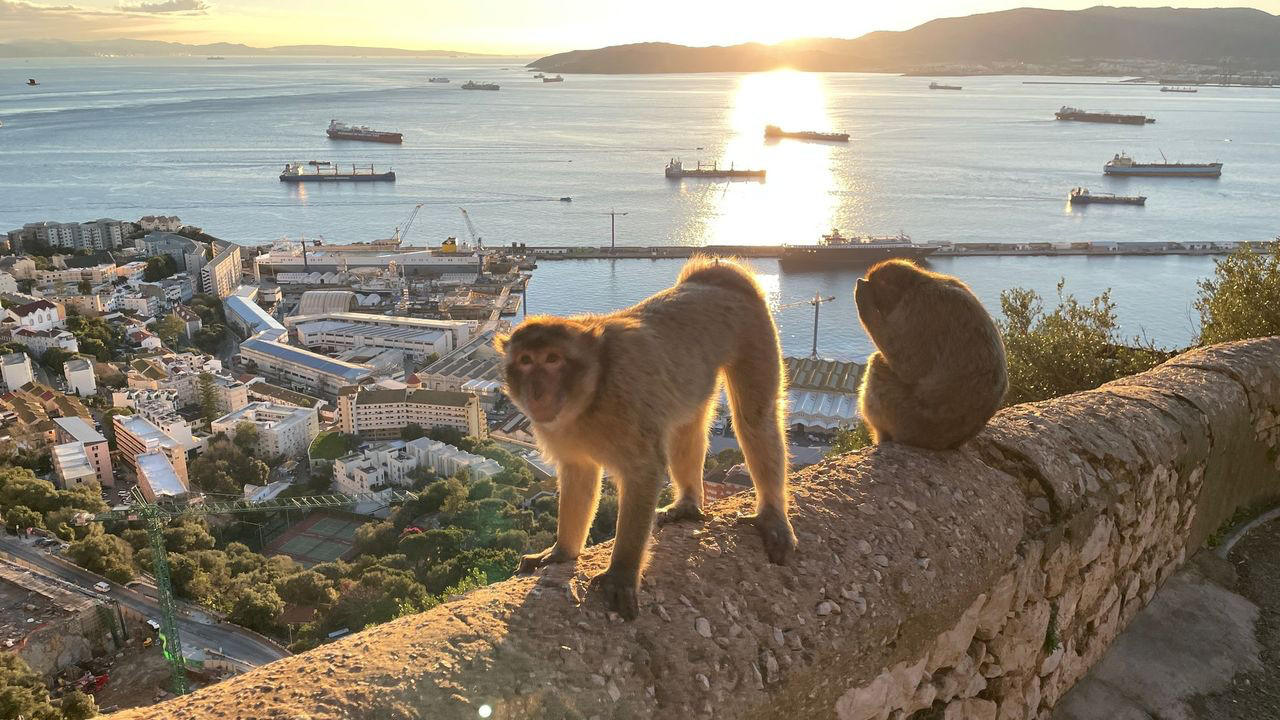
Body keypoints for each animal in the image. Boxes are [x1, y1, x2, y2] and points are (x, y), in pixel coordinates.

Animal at [498, 257, 794, 620]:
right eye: (526, 361)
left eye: (552, 360)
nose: (537, 392)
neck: (591, 393)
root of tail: (714, 276)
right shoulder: (558, 430)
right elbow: (580, 474)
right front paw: (562, 551)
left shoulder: (627, 398)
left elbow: (644, 472)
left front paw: (621, 573)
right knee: (687, 425)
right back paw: (688, 503)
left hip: (754, 332)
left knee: (755, 419)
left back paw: (772, 513)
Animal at [854, 259, 1007, 450]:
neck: (916, 284)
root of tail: (946, 444)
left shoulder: (918, 309)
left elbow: (910, 367)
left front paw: (862, 296)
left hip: (908, 419)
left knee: (877, 365)